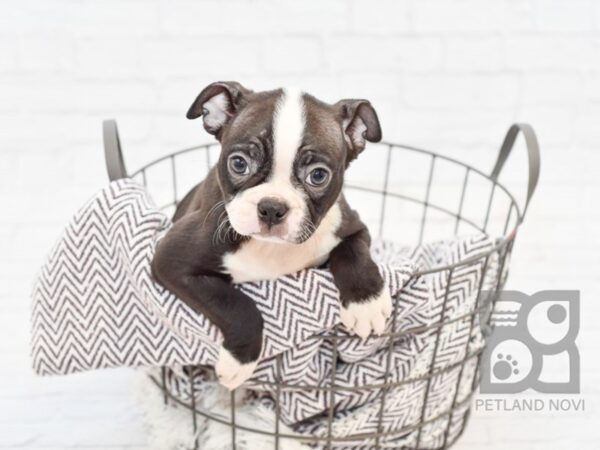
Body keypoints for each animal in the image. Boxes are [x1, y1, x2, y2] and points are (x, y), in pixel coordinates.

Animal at [152, 81, 392, 390]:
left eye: (318, 176)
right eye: (239, 164)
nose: (272, 208)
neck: (271, 248)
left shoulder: (352, 225)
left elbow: (353, 251)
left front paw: (366, 303)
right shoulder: (170, 260)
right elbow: (236, 304)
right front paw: (239, 362)